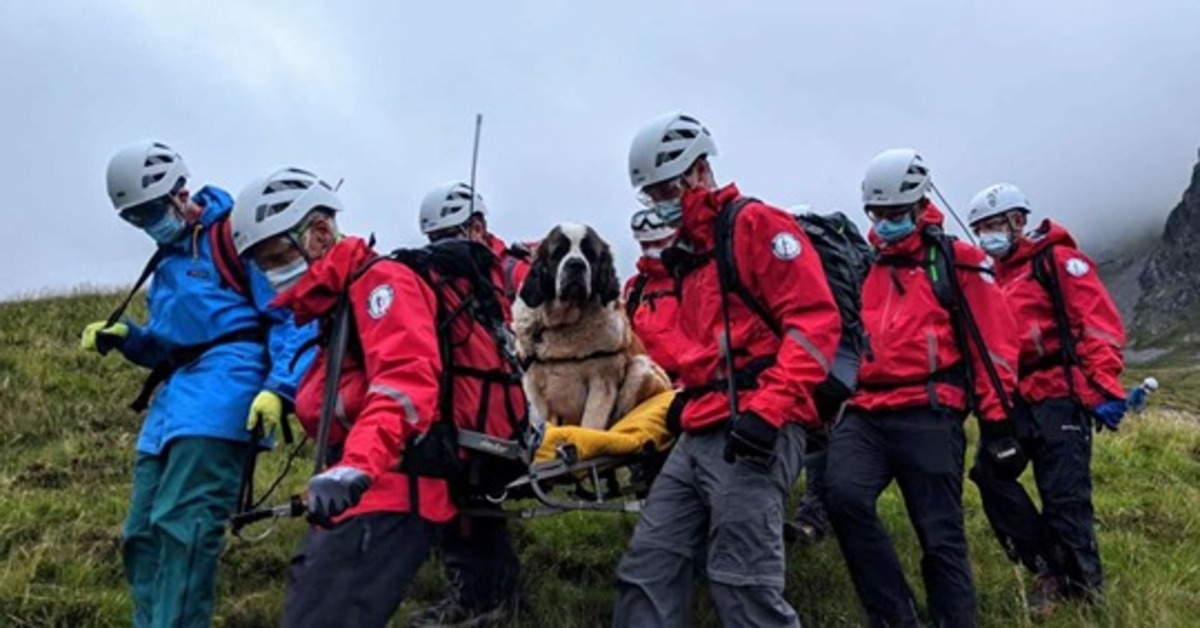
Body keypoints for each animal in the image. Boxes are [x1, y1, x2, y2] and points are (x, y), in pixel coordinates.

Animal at [508, 222, 672, 432]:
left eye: (590, 254)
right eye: (558, 252)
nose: (576, 264)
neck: (564, 324)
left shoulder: (602, 382)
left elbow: (590, 425)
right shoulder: (535, 387)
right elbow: (547, 422)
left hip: (642, 369)